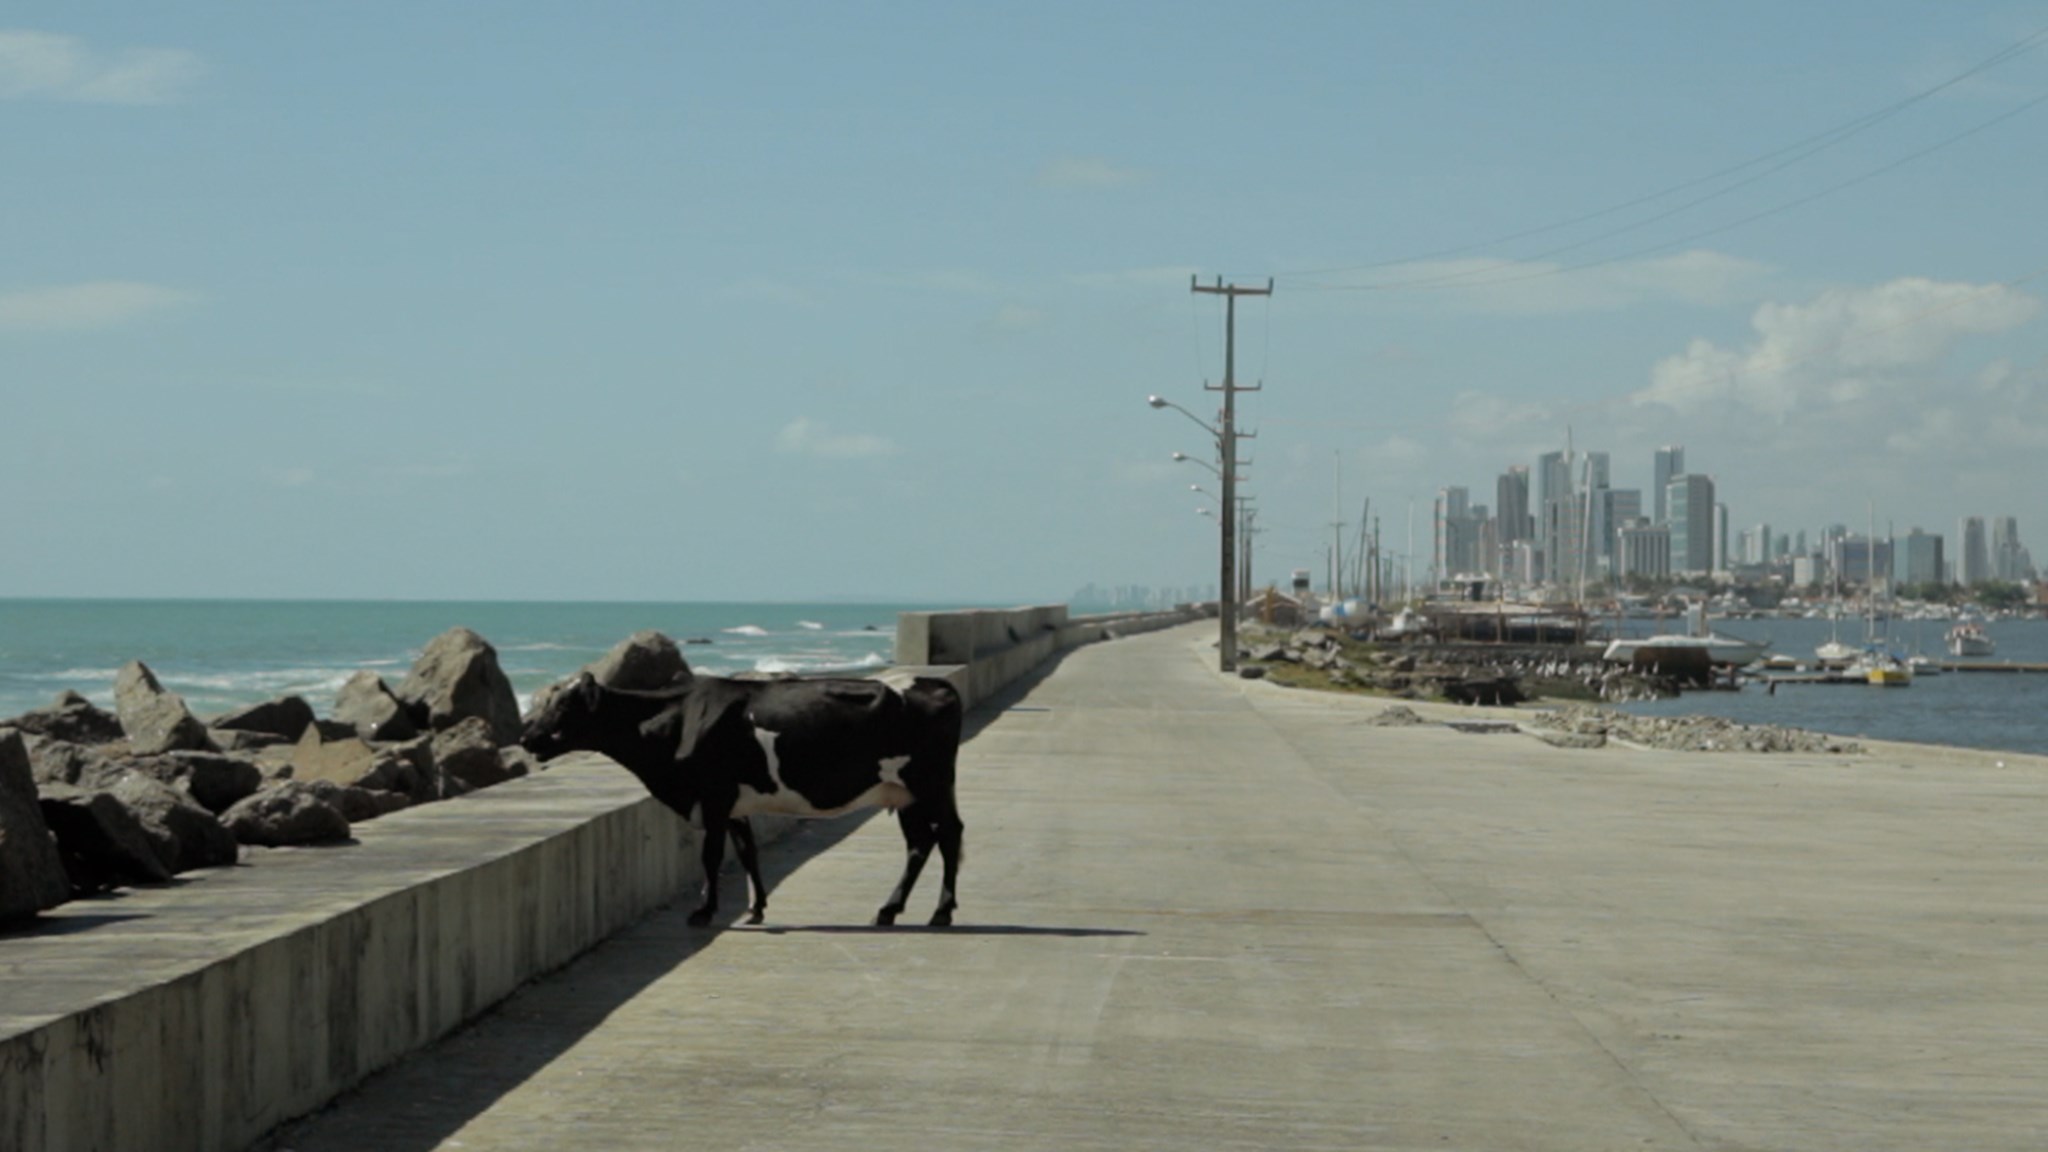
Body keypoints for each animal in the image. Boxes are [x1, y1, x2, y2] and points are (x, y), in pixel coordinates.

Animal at [519, 671, 965, 928]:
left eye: (563, 704)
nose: (526, 737)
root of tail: (936, 683)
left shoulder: (714, 796)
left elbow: (711, 856)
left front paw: (703, 911)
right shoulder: (734, 805)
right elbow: (746, 850)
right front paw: (756, 908)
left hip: (930, 783)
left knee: (949, 835)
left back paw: (941, 911)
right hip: (907, 795)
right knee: (920, 843)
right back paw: (889, 910)